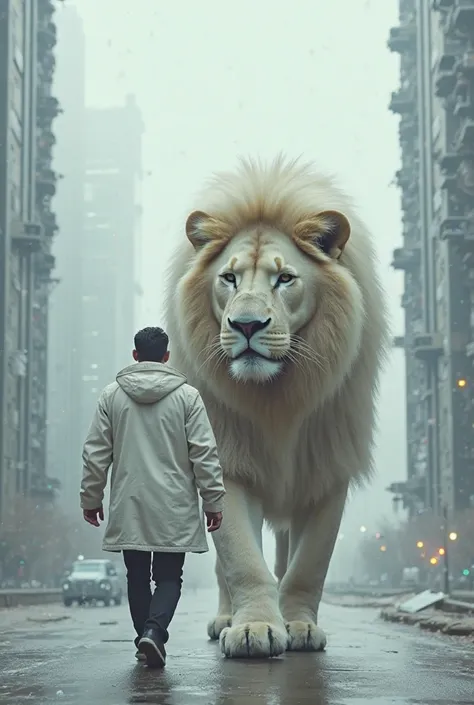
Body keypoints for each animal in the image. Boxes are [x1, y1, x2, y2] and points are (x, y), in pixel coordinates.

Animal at [165, 155, 386, 660]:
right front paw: (253, 629)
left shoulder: (328, 469)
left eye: (284, 278)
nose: (246, 325)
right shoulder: (227, 462)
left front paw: (299, 626)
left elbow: (308, 566)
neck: (278, 399)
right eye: (228, 278)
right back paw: (226, 618)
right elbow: (242, 561)